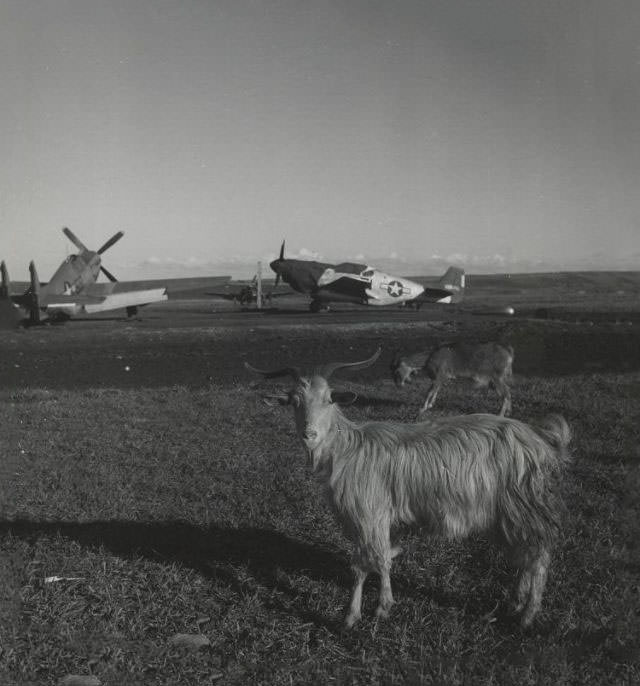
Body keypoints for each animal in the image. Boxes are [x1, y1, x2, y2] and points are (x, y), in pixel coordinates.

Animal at [245, 352, 568, 632]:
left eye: (328, 399)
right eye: (294, 401)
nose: (309, 434)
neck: (347, 449)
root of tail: (540, 438)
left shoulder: (368, 514)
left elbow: (364, 564)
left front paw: (360, 614)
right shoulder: (382, 519)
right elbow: (384, 557)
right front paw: (380, 604)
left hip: (524, 506)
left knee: (539, 556)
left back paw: (527, 616)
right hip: (507, 515)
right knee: (524, 556)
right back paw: (514, 603)